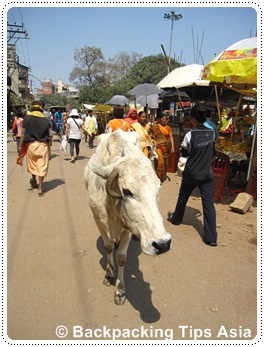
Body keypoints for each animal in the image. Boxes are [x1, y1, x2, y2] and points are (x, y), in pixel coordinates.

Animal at [84, 130, 171, 304]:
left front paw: (120, 290)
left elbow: (122, 257)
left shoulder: (128, 228)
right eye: (127, 191)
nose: (163, 244)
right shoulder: (98, 220)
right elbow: (108, 247)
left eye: (158, 188)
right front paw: (109, 272)